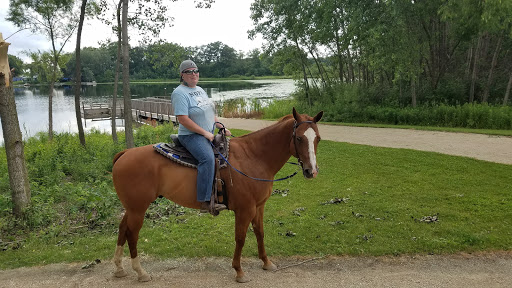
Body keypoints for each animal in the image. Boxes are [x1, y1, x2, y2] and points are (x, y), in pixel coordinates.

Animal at [111, 107, 324, 282]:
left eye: (318, 139)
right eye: (299, 138)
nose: (311, 171)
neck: (254, 156)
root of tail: (124, 153)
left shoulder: (259, 206)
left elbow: (260, 233)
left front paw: (266, 262)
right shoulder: (245, 209)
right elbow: (240, 237)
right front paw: (239, 271)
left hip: (132, 208)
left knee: (122, 229)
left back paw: (119, 268)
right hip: (138, 209)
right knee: (132, 234)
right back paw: (140, 272)